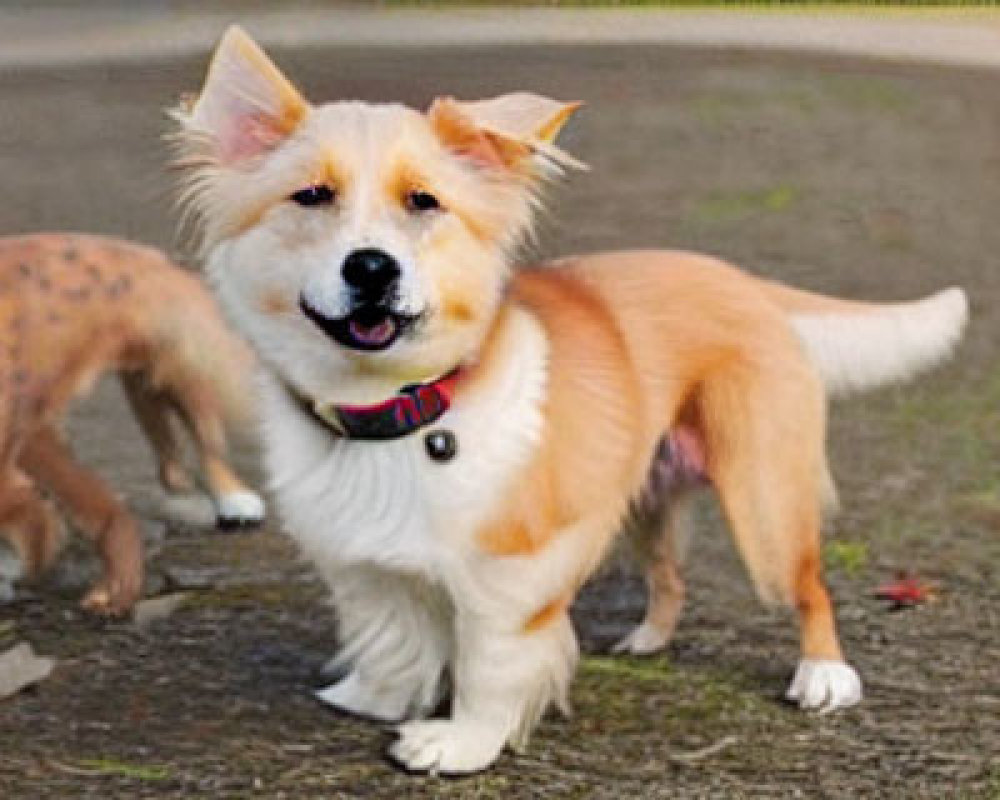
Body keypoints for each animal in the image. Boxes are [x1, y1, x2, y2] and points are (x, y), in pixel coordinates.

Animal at [0, 231, 266, 612]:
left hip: (177, 370)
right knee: (168, 456)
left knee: (208, 442)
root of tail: (148, 254)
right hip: (144, 383)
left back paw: (235, 499)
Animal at [174, 28, 968, 772]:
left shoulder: (509, 575)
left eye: (423, 202)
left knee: (809, 583)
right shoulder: (366, 564)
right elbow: (392, 636)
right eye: (312, 196)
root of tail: (742, 281)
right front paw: (377, 697)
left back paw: (825, 675)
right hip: (642, 494)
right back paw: (647, 640)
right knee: (669, 576)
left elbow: (489, 668)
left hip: (763, 500)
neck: (401, 410)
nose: (372, 267)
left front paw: (460, 743)